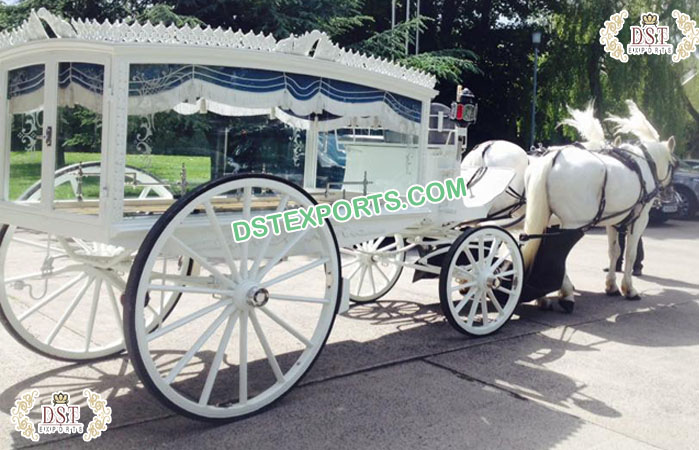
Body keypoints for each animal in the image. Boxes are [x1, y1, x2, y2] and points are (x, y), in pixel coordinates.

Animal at [524, 100, 676, 310]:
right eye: (674, 165)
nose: (670, 193)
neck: (643, 164)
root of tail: (553, 158)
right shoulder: (640, 219)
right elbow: (630, 253)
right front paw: (629, 289)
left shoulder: (613, 220)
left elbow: (614, 251)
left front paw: (612, 286)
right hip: (572, 224)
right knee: (558, 254)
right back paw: (566, 293)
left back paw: (543, 295)